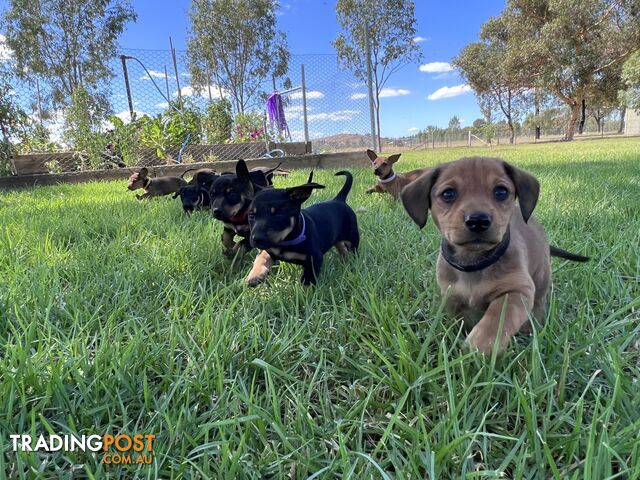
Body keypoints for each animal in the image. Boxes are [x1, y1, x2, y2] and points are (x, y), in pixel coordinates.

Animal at [402, 157, 588, 352]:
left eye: (501, 191)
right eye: (448, 194)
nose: (478, 221)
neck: (474, 263)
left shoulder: (516, 290)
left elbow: (496, 319)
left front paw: (479, 346)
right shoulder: (451, 297)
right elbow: (456, 321)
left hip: (541, 277)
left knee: (538, 303)